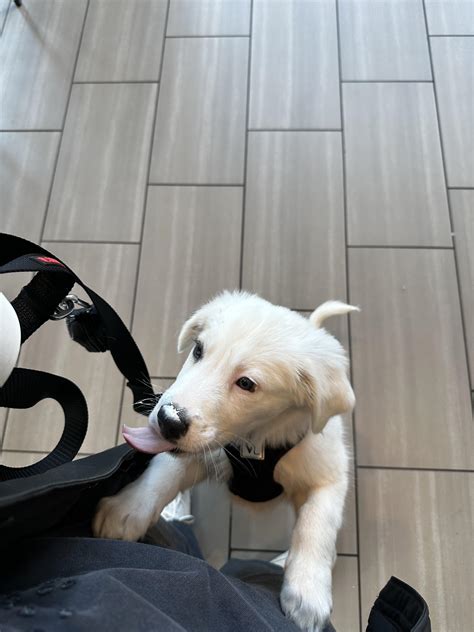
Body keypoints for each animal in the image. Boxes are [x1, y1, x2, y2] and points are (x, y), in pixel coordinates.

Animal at [92, 292, 358, 632]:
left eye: (246, 384)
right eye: (198, 350)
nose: (168, 420)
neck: (257, 443)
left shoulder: (329, 471)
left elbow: (315, 523)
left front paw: (307, 594)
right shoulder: (203, 453)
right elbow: (163, 471)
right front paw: (127, 510)